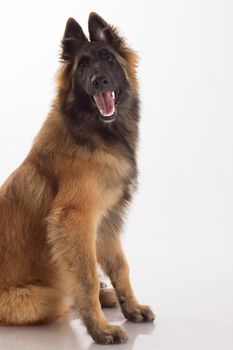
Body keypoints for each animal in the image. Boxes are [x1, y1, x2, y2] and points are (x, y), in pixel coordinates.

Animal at [0, 12, 155, 344]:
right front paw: (99, 328)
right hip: (37, 298)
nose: (100, 81)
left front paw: (131, 307)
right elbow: (86, 278)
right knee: (64, 294)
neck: (94, 133)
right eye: (82, 65)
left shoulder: (106, 218)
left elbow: (120, 266)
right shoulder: (75, 219)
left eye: (108, 59)